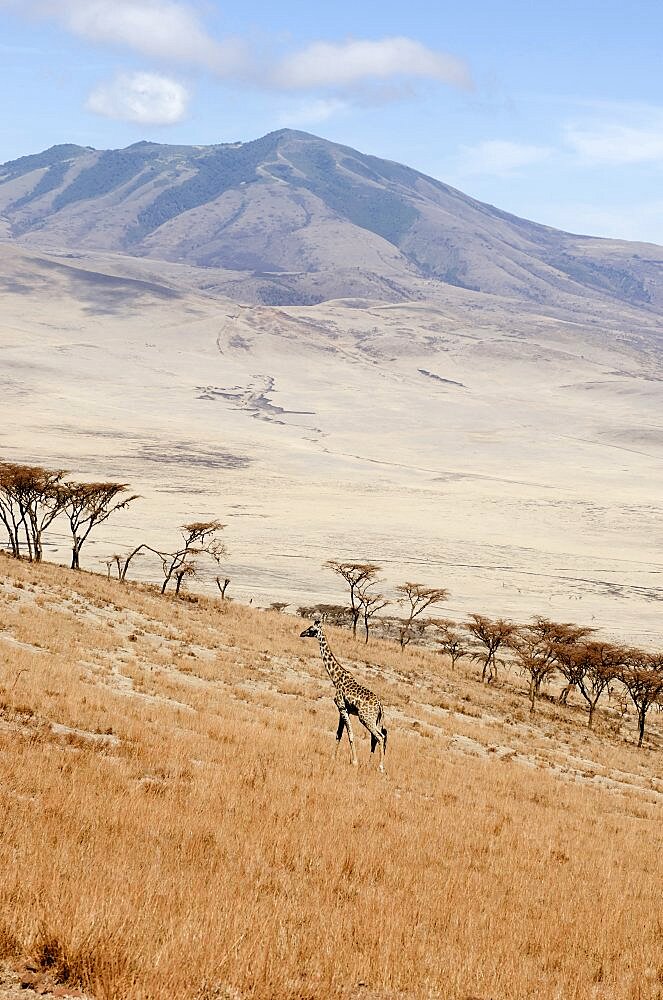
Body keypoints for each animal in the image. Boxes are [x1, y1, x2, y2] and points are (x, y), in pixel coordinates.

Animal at [298, 616, 386, 772]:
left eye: (311, 629)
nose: (302, 633)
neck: (336, 678)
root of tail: (380, 706)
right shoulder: (343, 710)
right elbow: (339, 734)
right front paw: (333, 758)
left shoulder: (342, 707)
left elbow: (350, 734)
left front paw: (354, 761)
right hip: (375, 720)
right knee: (377, 738)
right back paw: (371, 764)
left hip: (366, 718)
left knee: (379, 737)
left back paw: (380, 767)